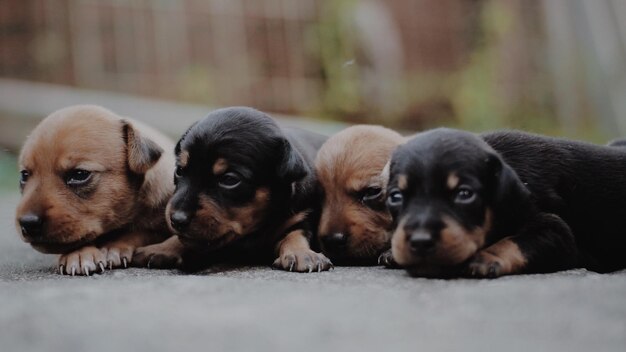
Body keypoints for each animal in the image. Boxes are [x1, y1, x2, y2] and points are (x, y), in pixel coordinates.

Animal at [15, 104, 176, 276]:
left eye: (79, 174)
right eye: (24, 175)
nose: (28, 222)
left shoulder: (160, 226)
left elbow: (140, 232)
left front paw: (113, 247)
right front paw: (79, 254)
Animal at [134, 107, 334, 272]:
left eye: (229, 180)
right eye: (179, 171)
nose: (176, 220)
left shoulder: (301, 216)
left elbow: (295, 235)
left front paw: (302, 254)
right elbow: (183, 239)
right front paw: (161, 248)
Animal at [386, 128, 624, 280]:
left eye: (464, 194)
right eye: (395, 197)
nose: (420, 242)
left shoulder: (556, 231)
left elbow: (513, 241)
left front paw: (485, 257)